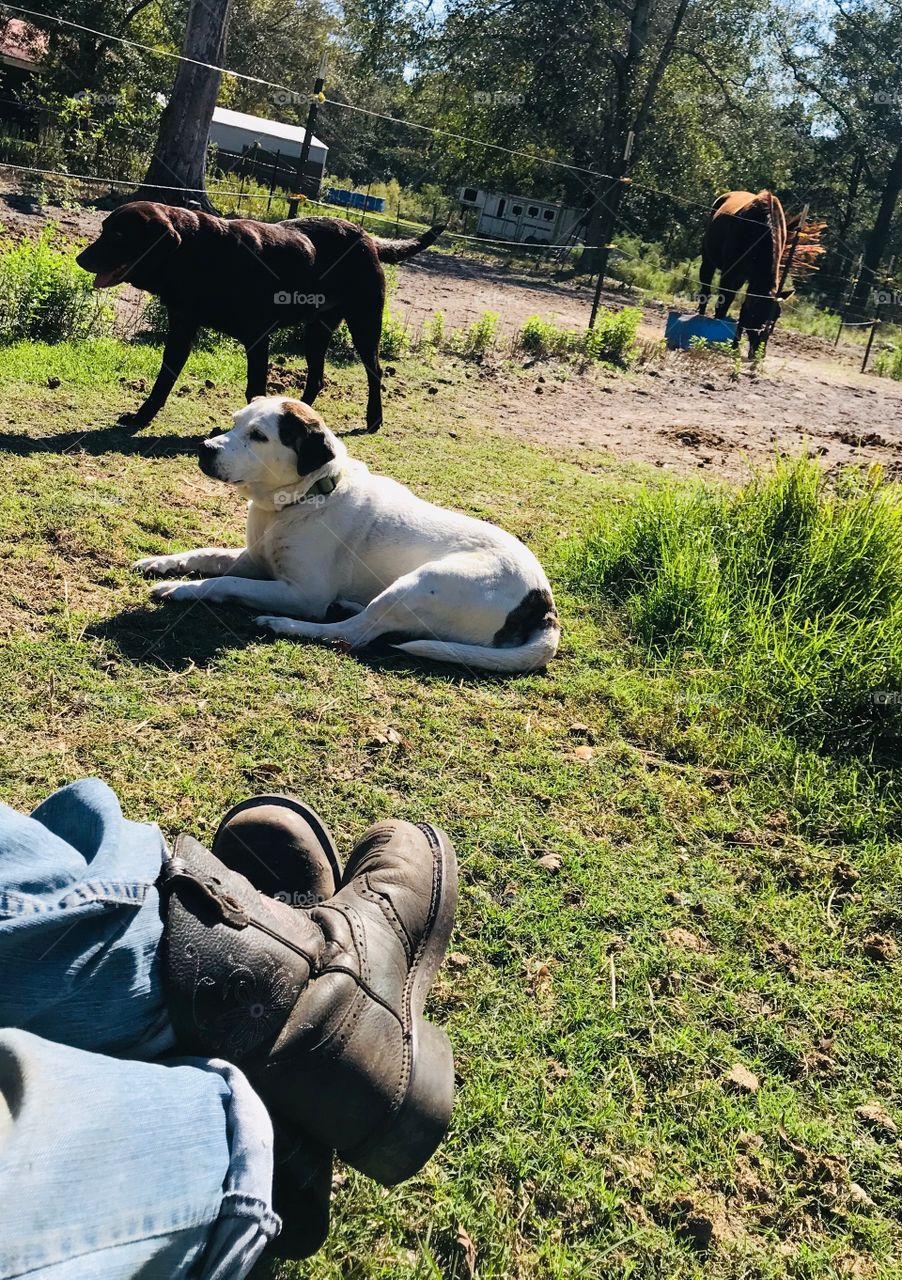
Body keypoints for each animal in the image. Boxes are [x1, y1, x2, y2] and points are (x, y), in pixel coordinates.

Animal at [697, 190, 797, 355]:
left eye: (777, 317)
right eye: (757, 314)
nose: (759, 351)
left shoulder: (750, 279)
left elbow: (743, 309)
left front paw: (735, 345)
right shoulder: (730, 272)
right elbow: (724, 302)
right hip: (708, 259)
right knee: (705, 287)